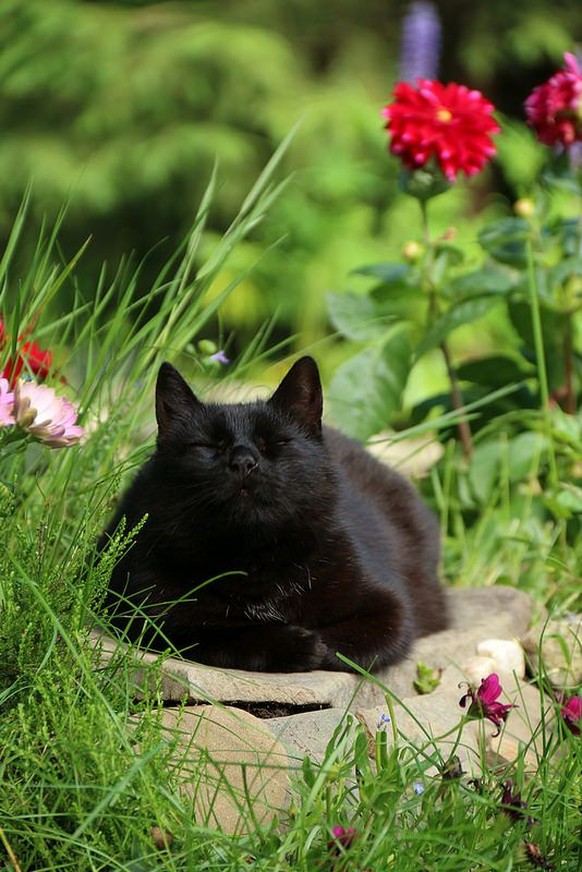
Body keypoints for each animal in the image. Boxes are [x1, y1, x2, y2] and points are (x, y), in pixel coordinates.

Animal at [100, 358, 450, 672]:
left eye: (276, 442)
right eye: (207, 446)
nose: (243, 461)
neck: (255, 558)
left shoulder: (391, 608)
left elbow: (360, 638)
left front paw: (318, 645)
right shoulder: (149, 611)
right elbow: (226, 633)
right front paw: (297, 643)